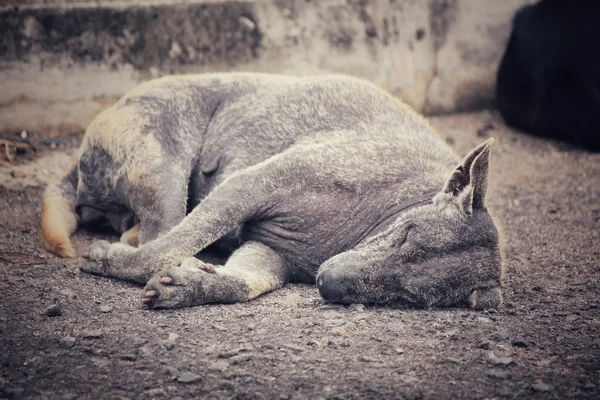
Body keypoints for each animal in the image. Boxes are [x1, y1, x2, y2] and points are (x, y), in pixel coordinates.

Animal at [39, 72, 504, 310]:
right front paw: (115, 261)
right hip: (163, 172)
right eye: (406, 234)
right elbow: (162, 252)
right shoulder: (250, 186)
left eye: (407, 297)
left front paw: (192, 285)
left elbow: (244, 283)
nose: (326, 284)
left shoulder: (269, 252)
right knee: (162, 234)